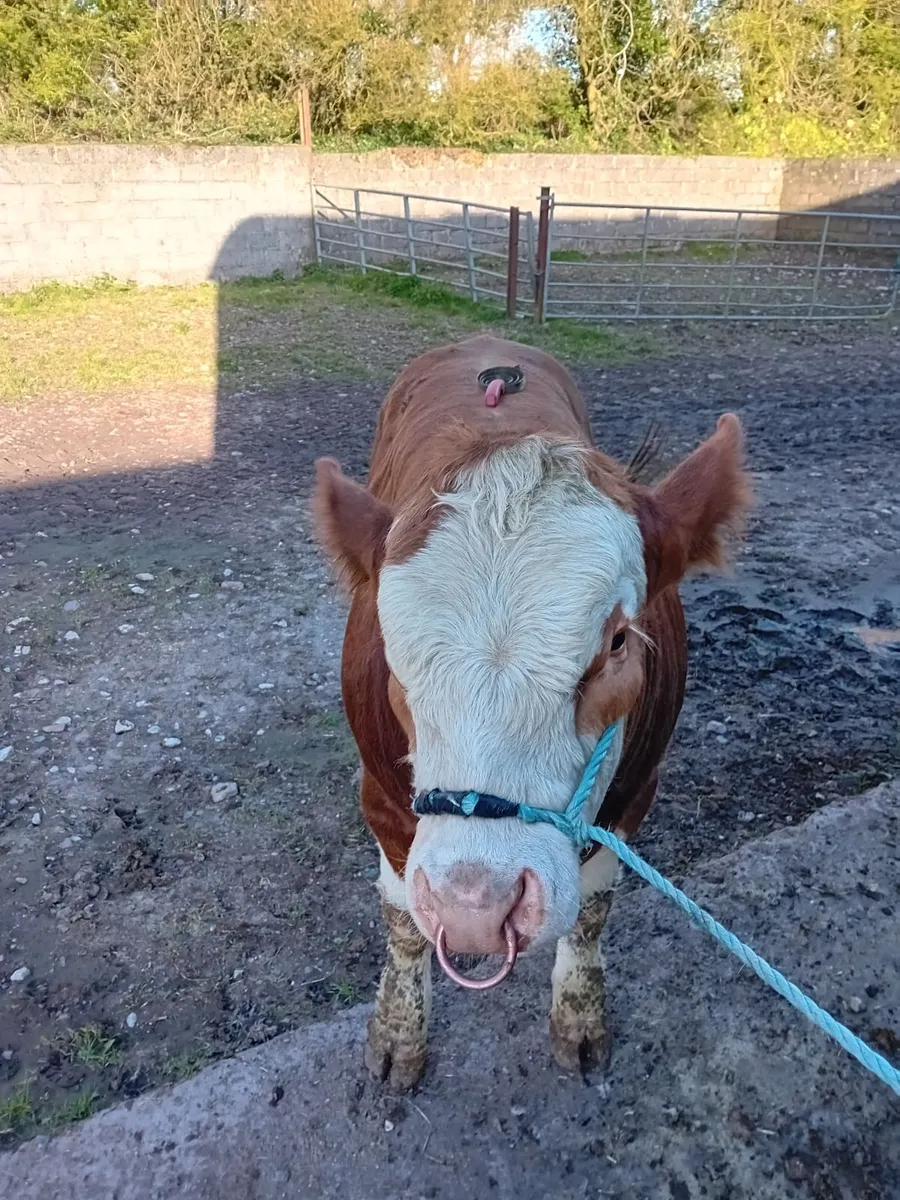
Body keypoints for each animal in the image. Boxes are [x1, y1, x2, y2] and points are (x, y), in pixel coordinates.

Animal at [313, 333, 749, 1090]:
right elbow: (403, 923)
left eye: (617, 641)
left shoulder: (633, 795)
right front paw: (398, 1036)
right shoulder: (381, 799)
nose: (474, 906)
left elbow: (594, 910)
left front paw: (579, 1019)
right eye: (392, 644)